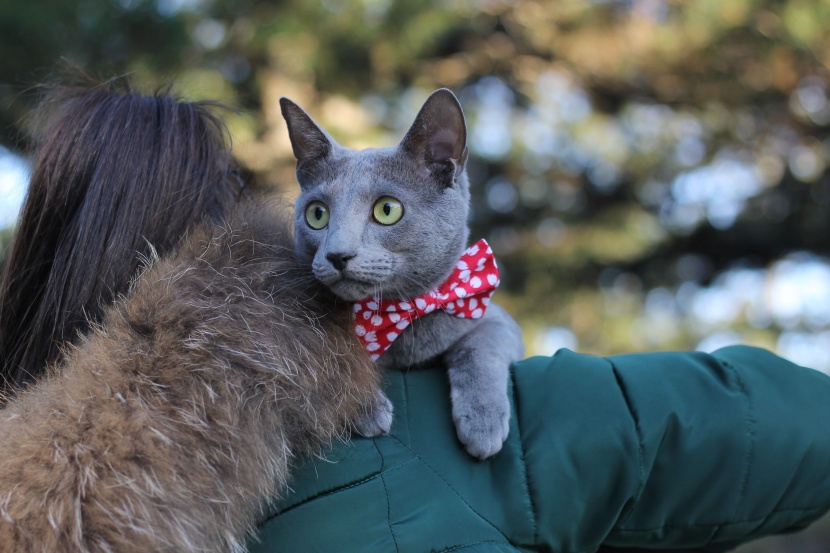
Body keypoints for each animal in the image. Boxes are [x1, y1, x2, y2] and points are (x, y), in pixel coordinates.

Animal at [282, 90, 524, 460]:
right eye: (317, 214)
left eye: (387, 209)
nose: (337, 254)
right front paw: (367, 408)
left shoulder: (497, 320)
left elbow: (481, 346)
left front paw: (482, 424)